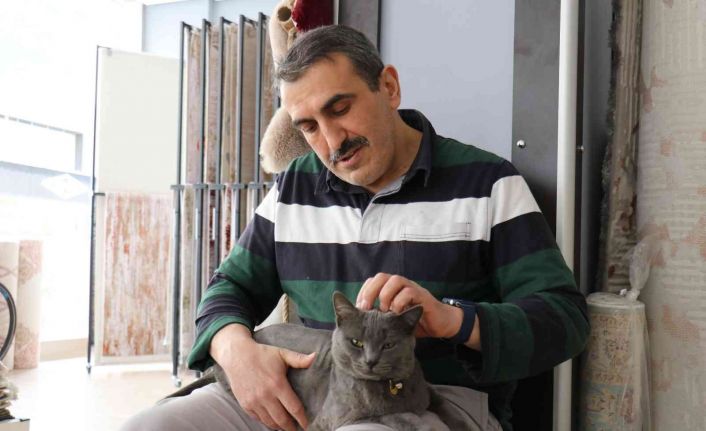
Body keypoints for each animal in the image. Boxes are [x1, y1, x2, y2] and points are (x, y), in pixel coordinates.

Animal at [213, 292, 440, 430]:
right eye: (356, 342)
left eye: (388, 345)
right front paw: (418, 421)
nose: (371, 361)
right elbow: (391, 416)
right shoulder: (338, 419)